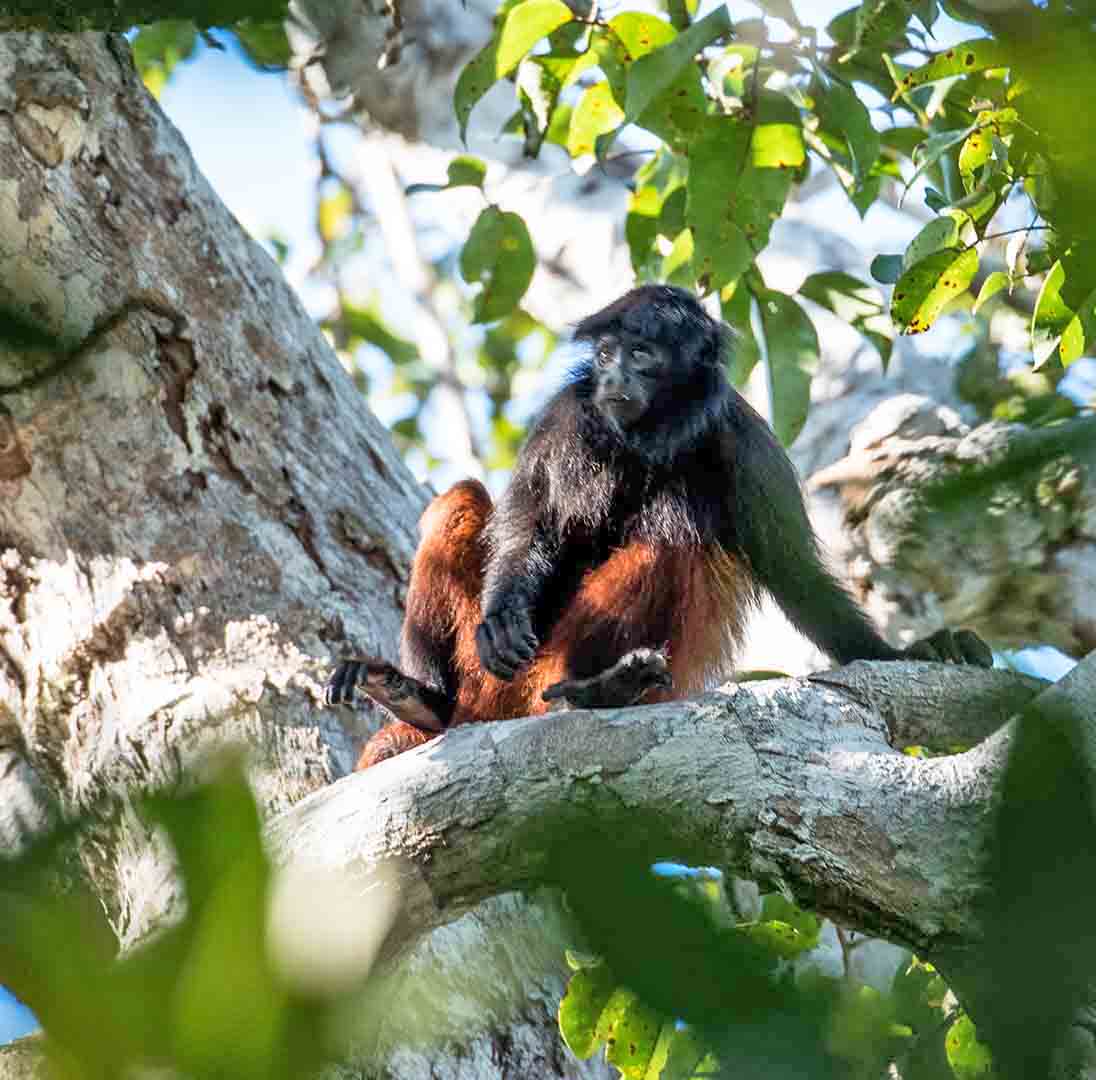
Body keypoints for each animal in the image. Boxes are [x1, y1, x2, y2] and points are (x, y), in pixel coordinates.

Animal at [326, 285, 995, 767]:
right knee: (462, 499)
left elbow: (796, 574)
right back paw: (424, 701)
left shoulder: (742, 436)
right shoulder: (566, 415)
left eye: (642, 355)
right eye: (604, 355)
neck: (646, 440)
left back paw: (597, 688)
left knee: (676, 530)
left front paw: (908, 650)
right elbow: (528, 527)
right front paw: (505, 613)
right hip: (486, 675)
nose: (613, 377)